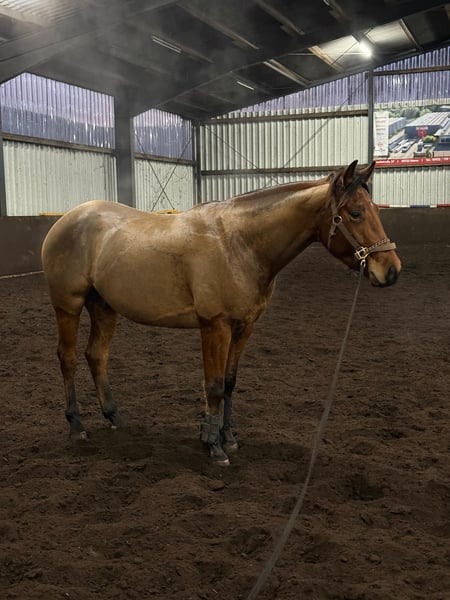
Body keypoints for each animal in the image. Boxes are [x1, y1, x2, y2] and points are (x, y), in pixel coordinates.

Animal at [41, 160, 401, 466]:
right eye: (355, 213)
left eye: (374, 210)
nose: (391, 270)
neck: (239, 244)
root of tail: (66, 220)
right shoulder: (215, 326)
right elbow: (212, 385)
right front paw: (214, 447)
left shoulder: (244, 327)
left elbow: (229, 383)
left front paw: (227, 438)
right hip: (68, 305)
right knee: (68, 358)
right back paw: (77, 426)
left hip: (104, 307)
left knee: (96, 355)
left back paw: (114, 416)